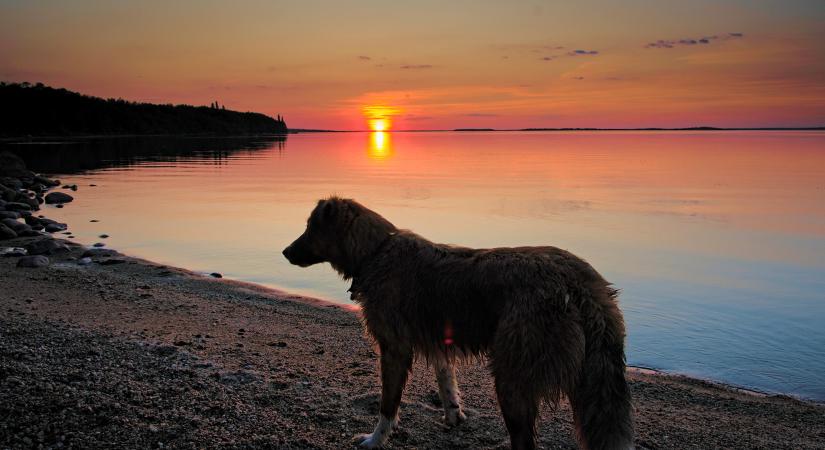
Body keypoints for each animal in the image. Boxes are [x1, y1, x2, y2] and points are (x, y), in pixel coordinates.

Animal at [280, 198, 636, 450]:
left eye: (310, 228)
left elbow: (388, 404)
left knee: (524, 441)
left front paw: (374, 439)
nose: (284, 251)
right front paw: (453, 416)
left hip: (512, 376)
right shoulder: (439, 339)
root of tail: (579, 282)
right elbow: (446, 381)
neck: (376, 251)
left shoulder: (394, 348)